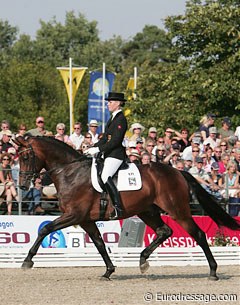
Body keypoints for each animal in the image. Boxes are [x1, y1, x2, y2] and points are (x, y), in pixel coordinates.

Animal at [14, 135, 239, 278]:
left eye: (26, 157)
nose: (23, 185)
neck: (70, 173)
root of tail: (177, 171)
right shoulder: (85, 220)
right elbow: (99, 243)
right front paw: (108, 271)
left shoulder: (74, 215)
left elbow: (45, 229)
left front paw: (27, 261)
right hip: (147, 210)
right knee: (164, 231)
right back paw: (143, 261)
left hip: (178, 211)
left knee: (198, 234)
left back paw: (213, 271)